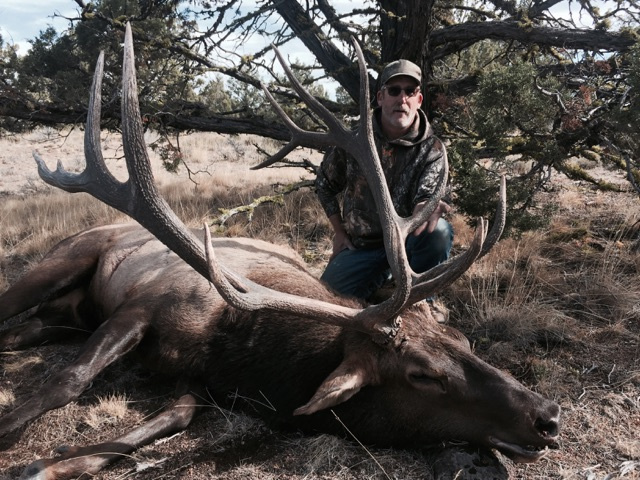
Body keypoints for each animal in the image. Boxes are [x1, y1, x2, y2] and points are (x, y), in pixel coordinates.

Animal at [0, 23, 560, 480]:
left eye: (464, 342)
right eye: (423, 374)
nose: (547, 416)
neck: (239, 348)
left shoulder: (204, 383)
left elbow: (168, 419)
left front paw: (53, 463)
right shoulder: (142, 306)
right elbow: (68, 381)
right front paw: (16, 438)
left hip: (66, 315)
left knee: (23, 331)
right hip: (62, 260)